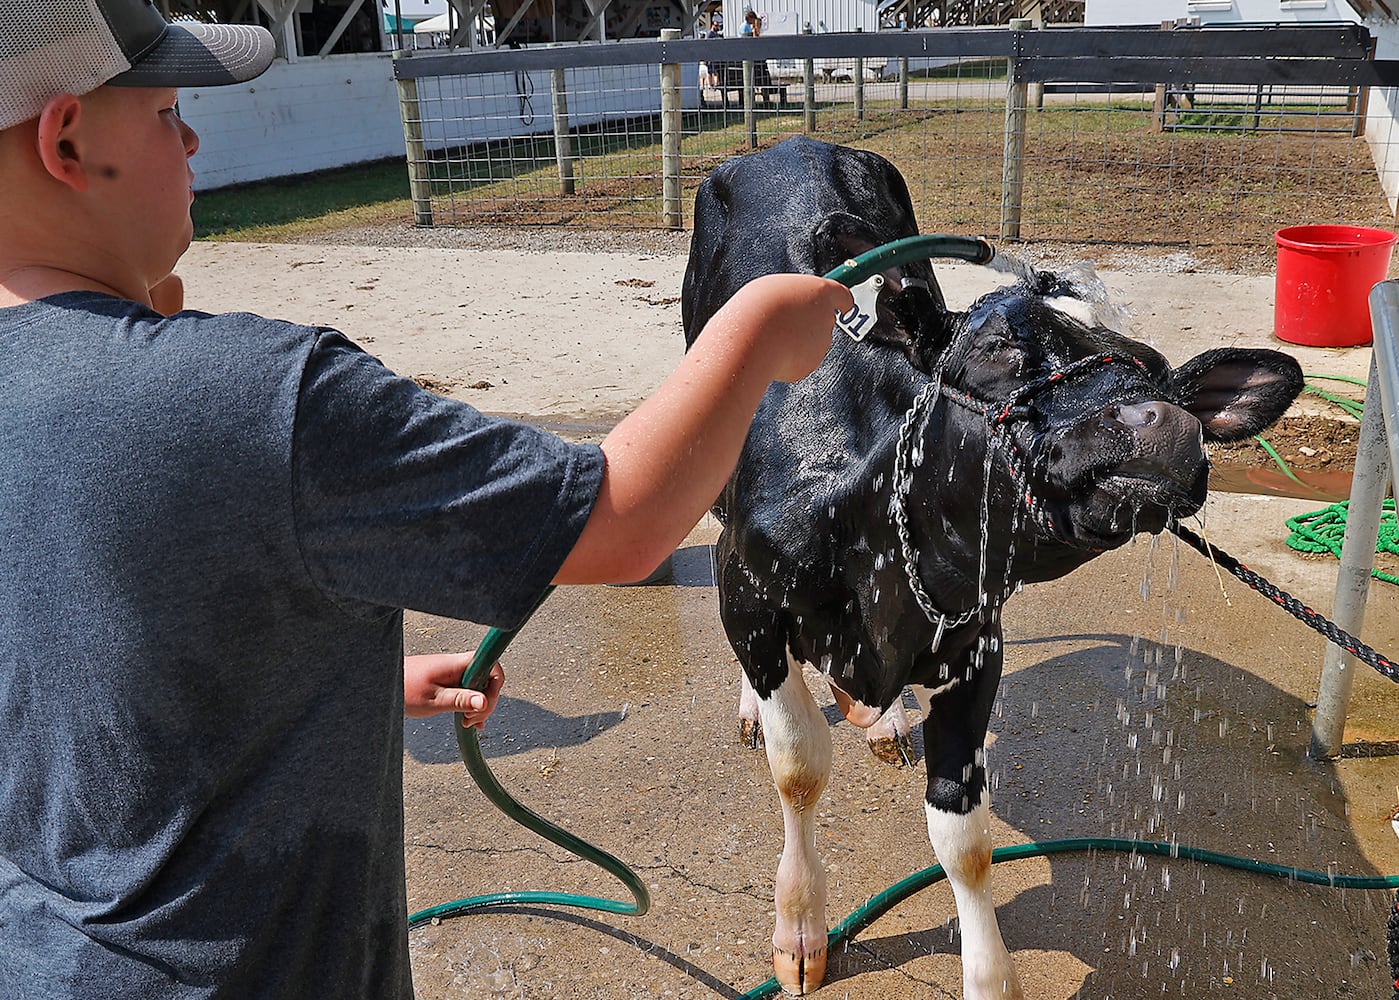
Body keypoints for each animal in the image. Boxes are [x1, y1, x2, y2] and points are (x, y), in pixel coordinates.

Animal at [677, 137, 1298, 995]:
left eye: (1159, 375)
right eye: (996, 348)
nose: (1164, 424)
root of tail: (794, 143)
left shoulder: (975, 644)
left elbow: (964, 840)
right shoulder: (746, 588)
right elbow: (798, 767)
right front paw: (799, 927)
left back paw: (880, 715)